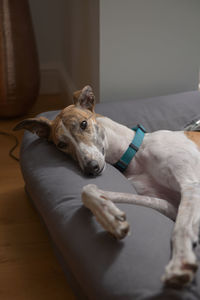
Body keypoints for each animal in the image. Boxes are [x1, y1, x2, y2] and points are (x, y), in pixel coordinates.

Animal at [14, 85, 200, 288]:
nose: (90, 168)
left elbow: (181, 228)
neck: (135, 153)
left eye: (83, 124)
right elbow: (87, 190)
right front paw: (112, 220)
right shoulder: (168, 205)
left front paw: (180, 263)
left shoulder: (191, 185)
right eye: (61, 144)